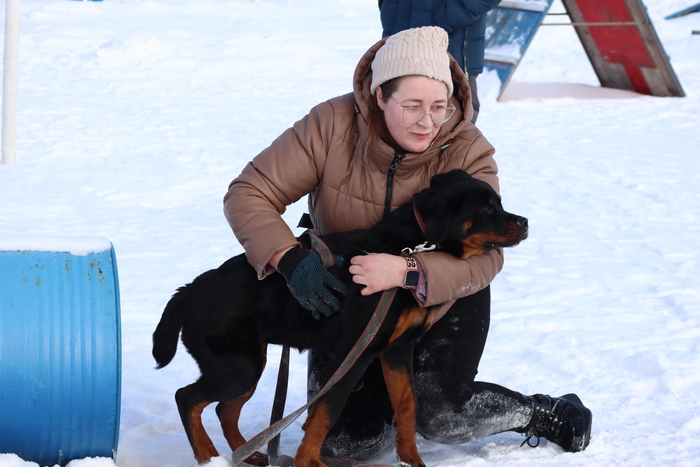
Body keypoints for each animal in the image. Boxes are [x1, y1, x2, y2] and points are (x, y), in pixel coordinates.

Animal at [152, 169, 528, 467]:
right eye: (485, 208)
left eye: (498, 202)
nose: (525, 222)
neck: (407, 252)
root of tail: (188, 290)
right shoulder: (355, 351)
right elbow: (326, 412)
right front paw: (308, 462)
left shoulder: (395, 348)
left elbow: (407, 405)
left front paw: (411, 461)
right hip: (237, 367)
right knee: (187, 398)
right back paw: (207, 457)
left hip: (246, 365)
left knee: (223, 410)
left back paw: (250, 455)